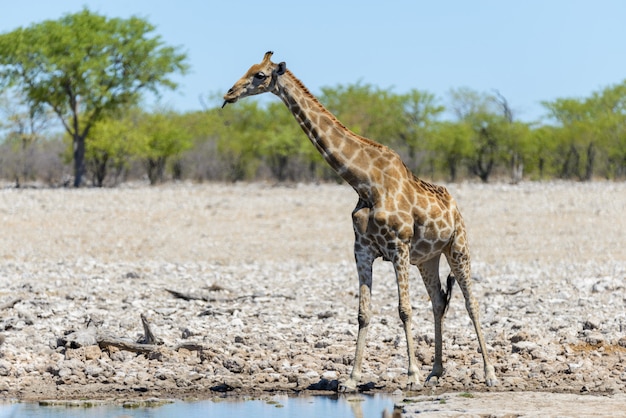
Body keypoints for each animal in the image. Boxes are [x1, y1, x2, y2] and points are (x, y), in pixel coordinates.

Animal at [222, 52, 494, 392]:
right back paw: (436, 371)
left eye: (259, 75)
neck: (364, 183)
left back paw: (488, 373)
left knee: (472, 303)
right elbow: (363, 313)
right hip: (427, 258)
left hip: (457, 246)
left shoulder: (398, 246)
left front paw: (411, 375)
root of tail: (455, 205)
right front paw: (351, 379)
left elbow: (404, 310)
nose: (228, 94)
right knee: (438, 301)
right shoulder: (362, 249)